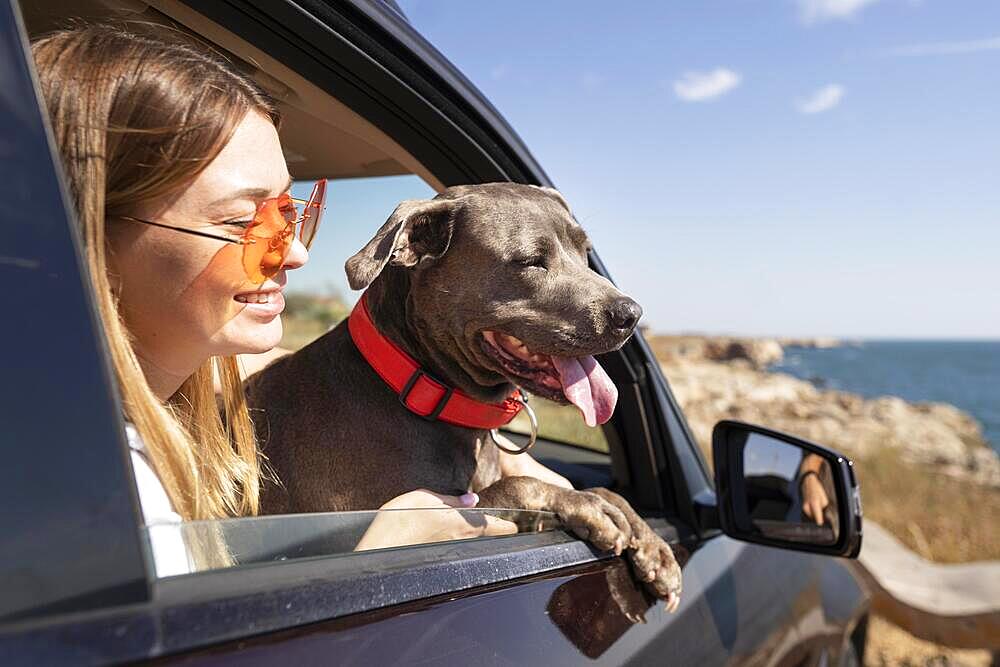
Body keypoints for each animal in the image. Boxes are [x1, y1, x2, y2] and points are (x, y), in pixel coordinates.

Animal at [244, 184, 680, 612]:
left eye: (585, 251)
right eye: (531, 262)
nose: (631, 314)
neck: (416, 387)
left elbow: (604, 491)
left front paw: (649, 542)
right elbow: (520, 485)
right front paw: (586, 505)